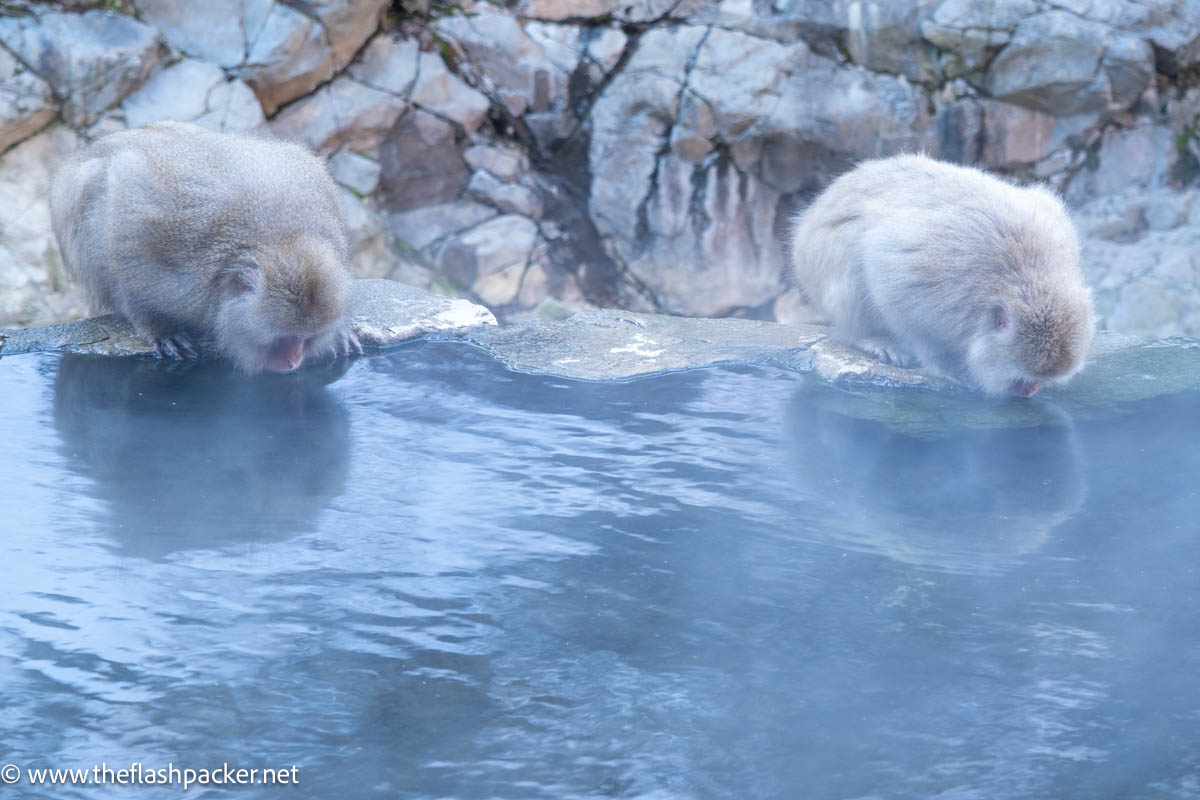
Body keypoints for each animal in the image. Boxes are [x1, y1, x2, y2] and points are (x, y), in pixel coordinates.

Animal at [50, 119, 360, 376]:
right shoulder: (157, 240)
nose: (294, 361)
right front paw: (160, 328)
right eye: (285, 339)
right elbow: (124, 259)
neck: (280, 240)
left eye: (307, 339)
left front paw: (338, 334)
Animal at [787, 154, 1099, 398]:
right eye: (1024, 378)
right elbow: (886, 278)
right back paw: (869, 338)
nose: (1030, 391)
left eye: (1041, 381)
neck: (1028, 278)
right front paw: (941, 366)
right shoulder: (926, 278)